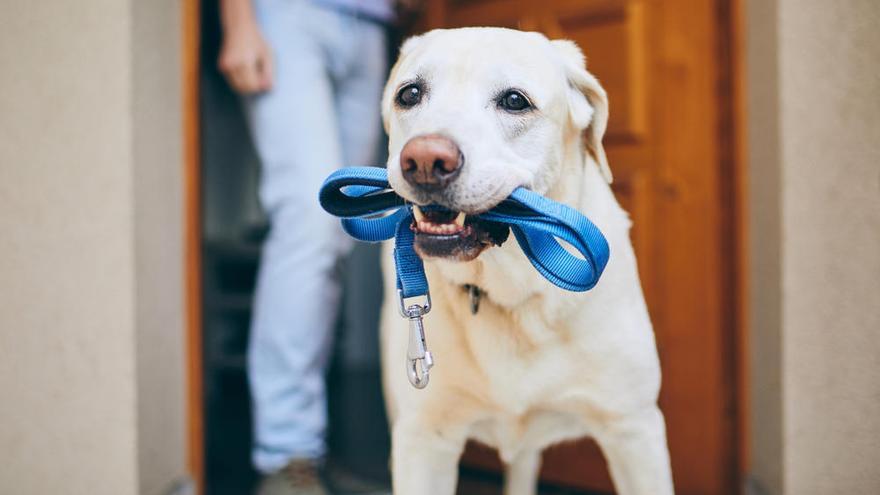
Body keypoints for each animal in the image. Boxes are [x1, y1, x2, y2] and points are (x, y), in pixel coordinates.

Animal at [378, 28, 672, 495]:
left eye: (515, 101)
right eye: (409, 94)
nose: (424, 159)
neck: (515, 294)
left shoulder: (635, 430)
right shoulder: (423, 439)